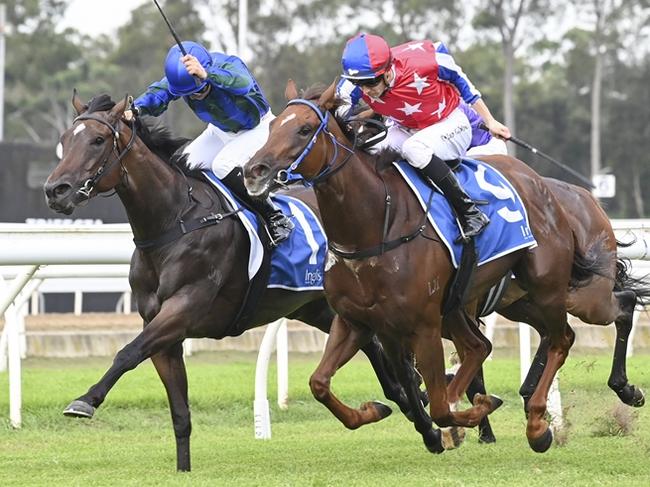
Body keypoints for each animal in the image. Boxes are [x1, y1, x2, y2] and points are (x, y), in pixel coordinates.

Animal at [41, 92, 426, 472]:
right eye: (64, 139)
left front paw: (85, 400)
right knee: (372, 344)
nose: (55, 190)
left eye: (97, 140)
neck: (175, 222)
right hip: (313, 307)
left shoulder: (183, 309)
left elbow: (127, 352)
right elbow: (179, 412)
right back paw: (402, 399)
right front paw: (183, 470)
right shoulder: (165, 332)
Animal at [242, 83, 644, 454]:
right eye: (273, 125)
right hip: (495, 304)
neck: (374, 228)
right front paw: (376, 411)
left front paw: (462, 420)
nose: (253, 170)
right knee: (491, 345)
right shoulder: (356, 320)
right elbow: (321, 383)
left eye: (305, 129)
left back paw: (554, 418)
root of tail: (563, 193)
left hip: (560, 289)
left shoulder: (423, 324)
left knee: (588, 323)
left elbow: (438, 403)